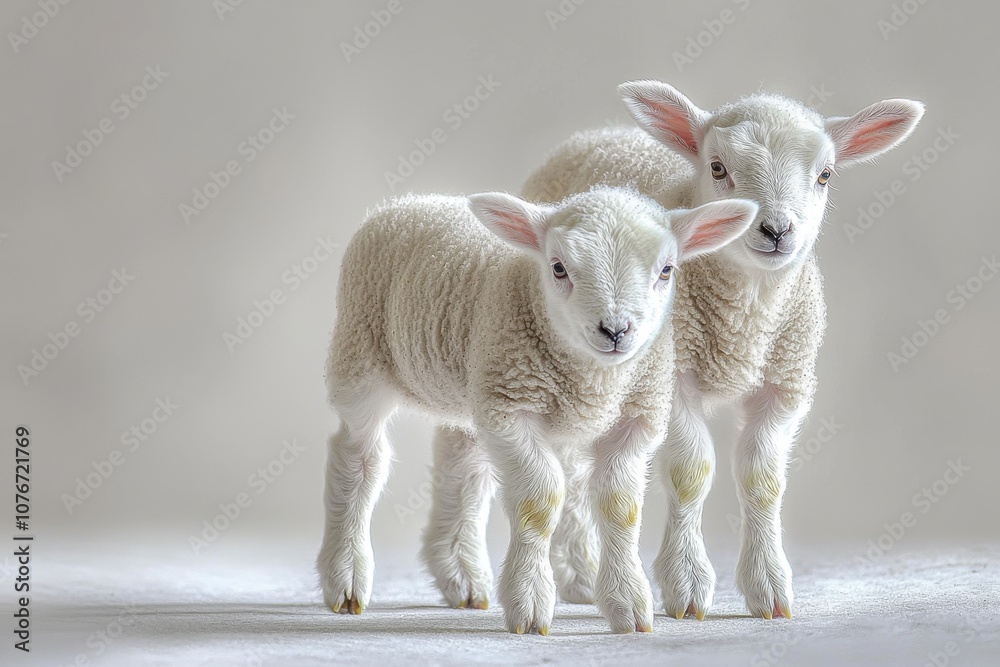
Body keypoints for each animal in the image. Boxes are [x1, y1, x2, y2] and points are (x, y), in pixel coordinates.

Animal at [318, 185, 758, 635]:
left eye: (667, 270)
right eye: (559, 268)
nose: (615, 331)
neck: (595, 378)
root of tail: (412, 199)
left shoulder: (636, 417)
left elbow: (620, 506)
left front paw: (628, 603)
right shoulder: (511, 409)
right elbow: (540, 499)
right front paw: (529, 604)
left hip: (469, 380)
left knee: (463, 468)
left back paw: (462, 575)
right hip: (361, 354)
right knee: (360, 457)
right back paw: (347, 578)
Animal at [423, 81, 925, 622]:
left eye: (825, 175)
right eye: (718, 168)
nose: (775, 231)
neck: (745, 319)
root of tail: (597, 134)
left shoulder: (785, 383)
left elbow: (763, 478)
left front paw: (768, 585)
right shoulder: (672, 376)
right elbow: (691, 470)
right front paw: (686, 583)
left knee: (573, 469)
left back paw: (579, 573)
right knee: (464, 453)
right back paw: (460, 569)